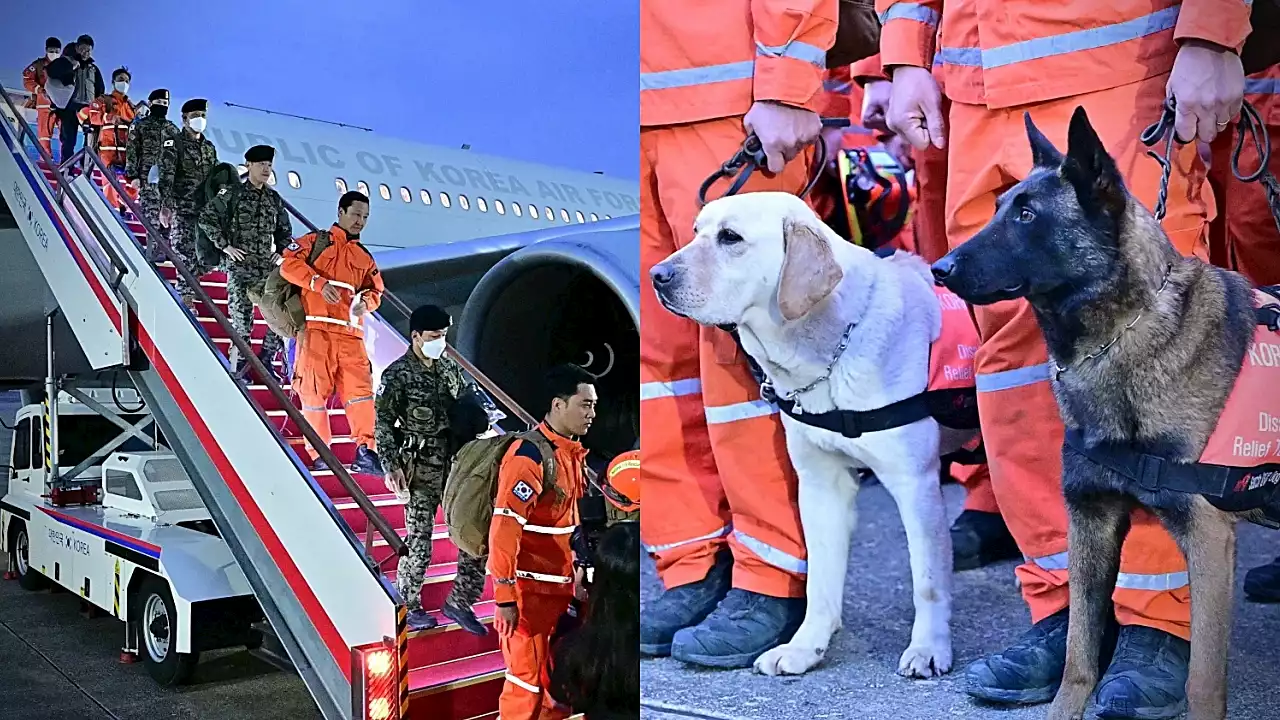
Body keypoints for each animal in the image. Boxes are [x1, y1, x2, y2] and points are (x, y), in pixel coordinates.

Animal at [650, 189, 977, 671]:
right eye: (695, 232)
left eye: (731, 238)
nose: (657, 275)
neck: (831, 345)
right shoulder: (821, 483)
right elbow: (820, 578)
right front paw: (805, 647)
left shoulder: (915, 482)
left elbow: (928, 581)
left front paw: (928, 648)